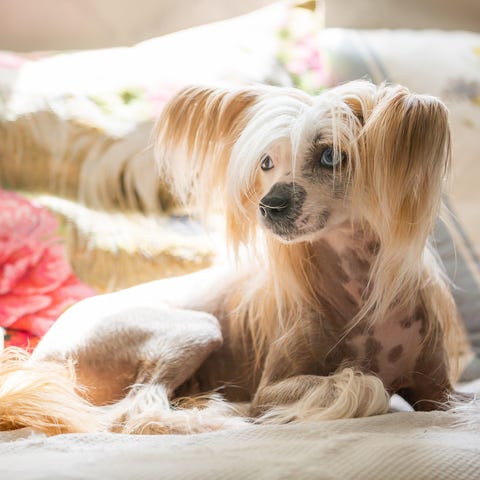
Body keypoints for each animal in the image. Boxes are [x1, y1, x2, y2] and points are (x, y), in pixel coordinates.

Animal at [0, 80, 476, 434]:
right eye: (266, 162)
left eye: (330, 155)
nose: (269, 204)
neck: (360, 288)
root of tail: (38, 361)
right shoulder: (272, 388)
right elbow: (367, 383)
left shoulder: (438, 392)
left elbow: (453, 403)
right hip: (193, 328)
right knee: (136, 409)